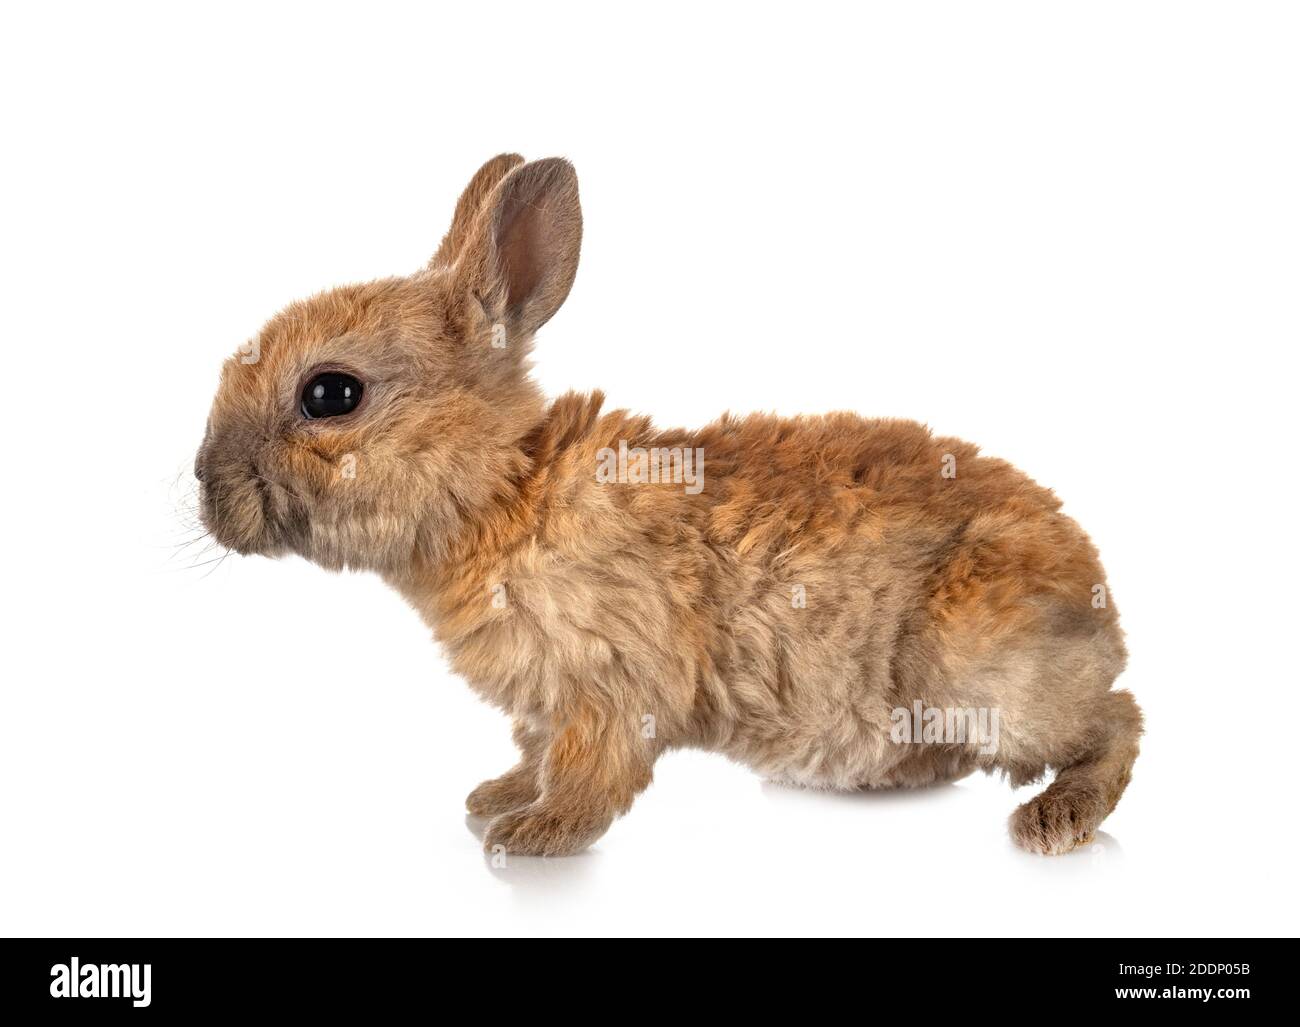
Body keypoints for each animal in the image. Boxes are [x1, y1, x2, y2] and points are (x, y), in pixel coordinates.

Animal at [196, 153, 1141, 857]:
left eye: (331, 393)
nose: (205, 483)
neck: (504, 493)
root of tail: (1102, 611)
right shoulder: (545, 704)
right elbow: (534, 751)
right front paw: (495, 797)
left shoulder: (608, 684)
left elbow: (589, 769)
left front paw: (531, 834)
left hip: (982, 675)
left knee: (1116, 722)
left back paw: (1054, 818)